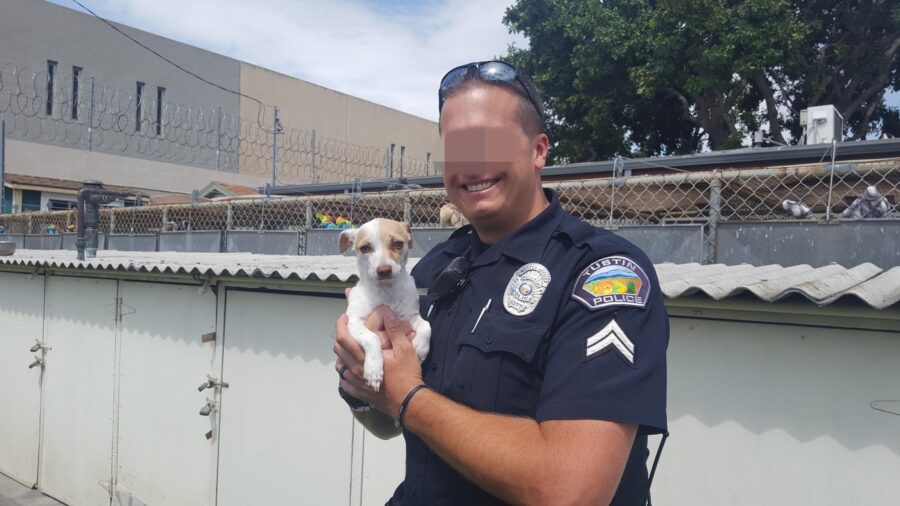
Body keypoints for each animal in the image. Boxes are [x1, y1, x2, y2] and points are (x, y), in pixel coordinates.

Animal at [342, 218, 432, 392]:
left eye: (398, 244)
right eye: (365, 248)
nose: (384, 270)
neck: (386, 292)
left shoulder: (410, 317)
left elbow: (426, 325)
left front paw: (420, 348)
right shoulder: (354, 321)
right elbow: (372, 337)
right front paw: (373, 370)